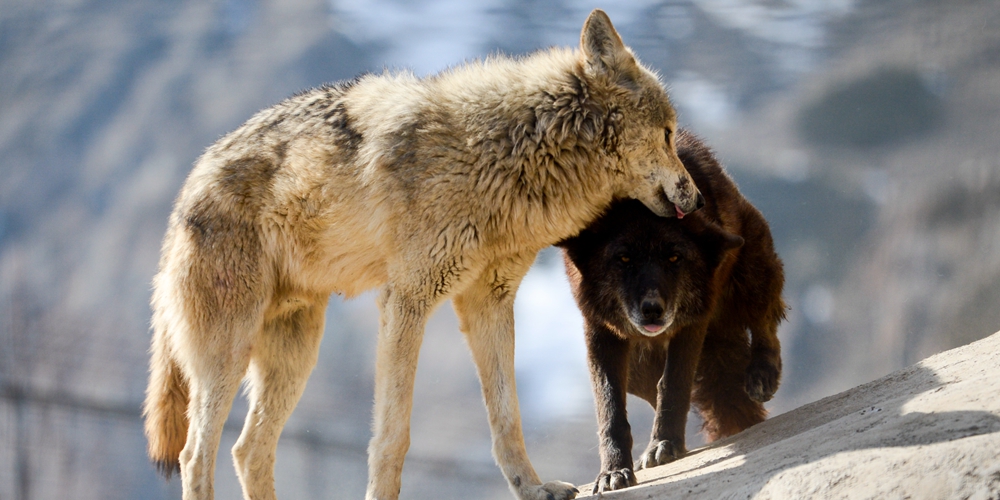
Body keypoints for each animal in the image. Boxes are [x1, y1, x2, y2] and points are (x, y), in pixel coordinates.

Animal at [143, 8, 704, 500]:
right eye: (668, 134)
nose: (697, 199)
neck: (504, 155)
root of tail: (185, 193)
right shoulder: (406, 301)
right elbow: (393, 436)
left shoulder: (489, 302)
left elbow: (507, 419)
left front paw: (534, 488)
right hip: (229, 353)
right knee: (196, 455)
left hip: (295, 354)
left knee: (248, 450)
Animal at [560, 131, 784, 494]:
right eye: (623, 258)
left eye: (674, 257)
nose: (653, 310)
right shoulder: (599, 330)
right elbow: (610, 407)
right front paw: (614, 471)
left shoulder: (691, 321)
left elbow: (674, 383)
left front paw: (665, 444)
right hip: (637, 366)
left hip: (752, 274)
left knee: (765, 323)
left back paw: (762, 373)